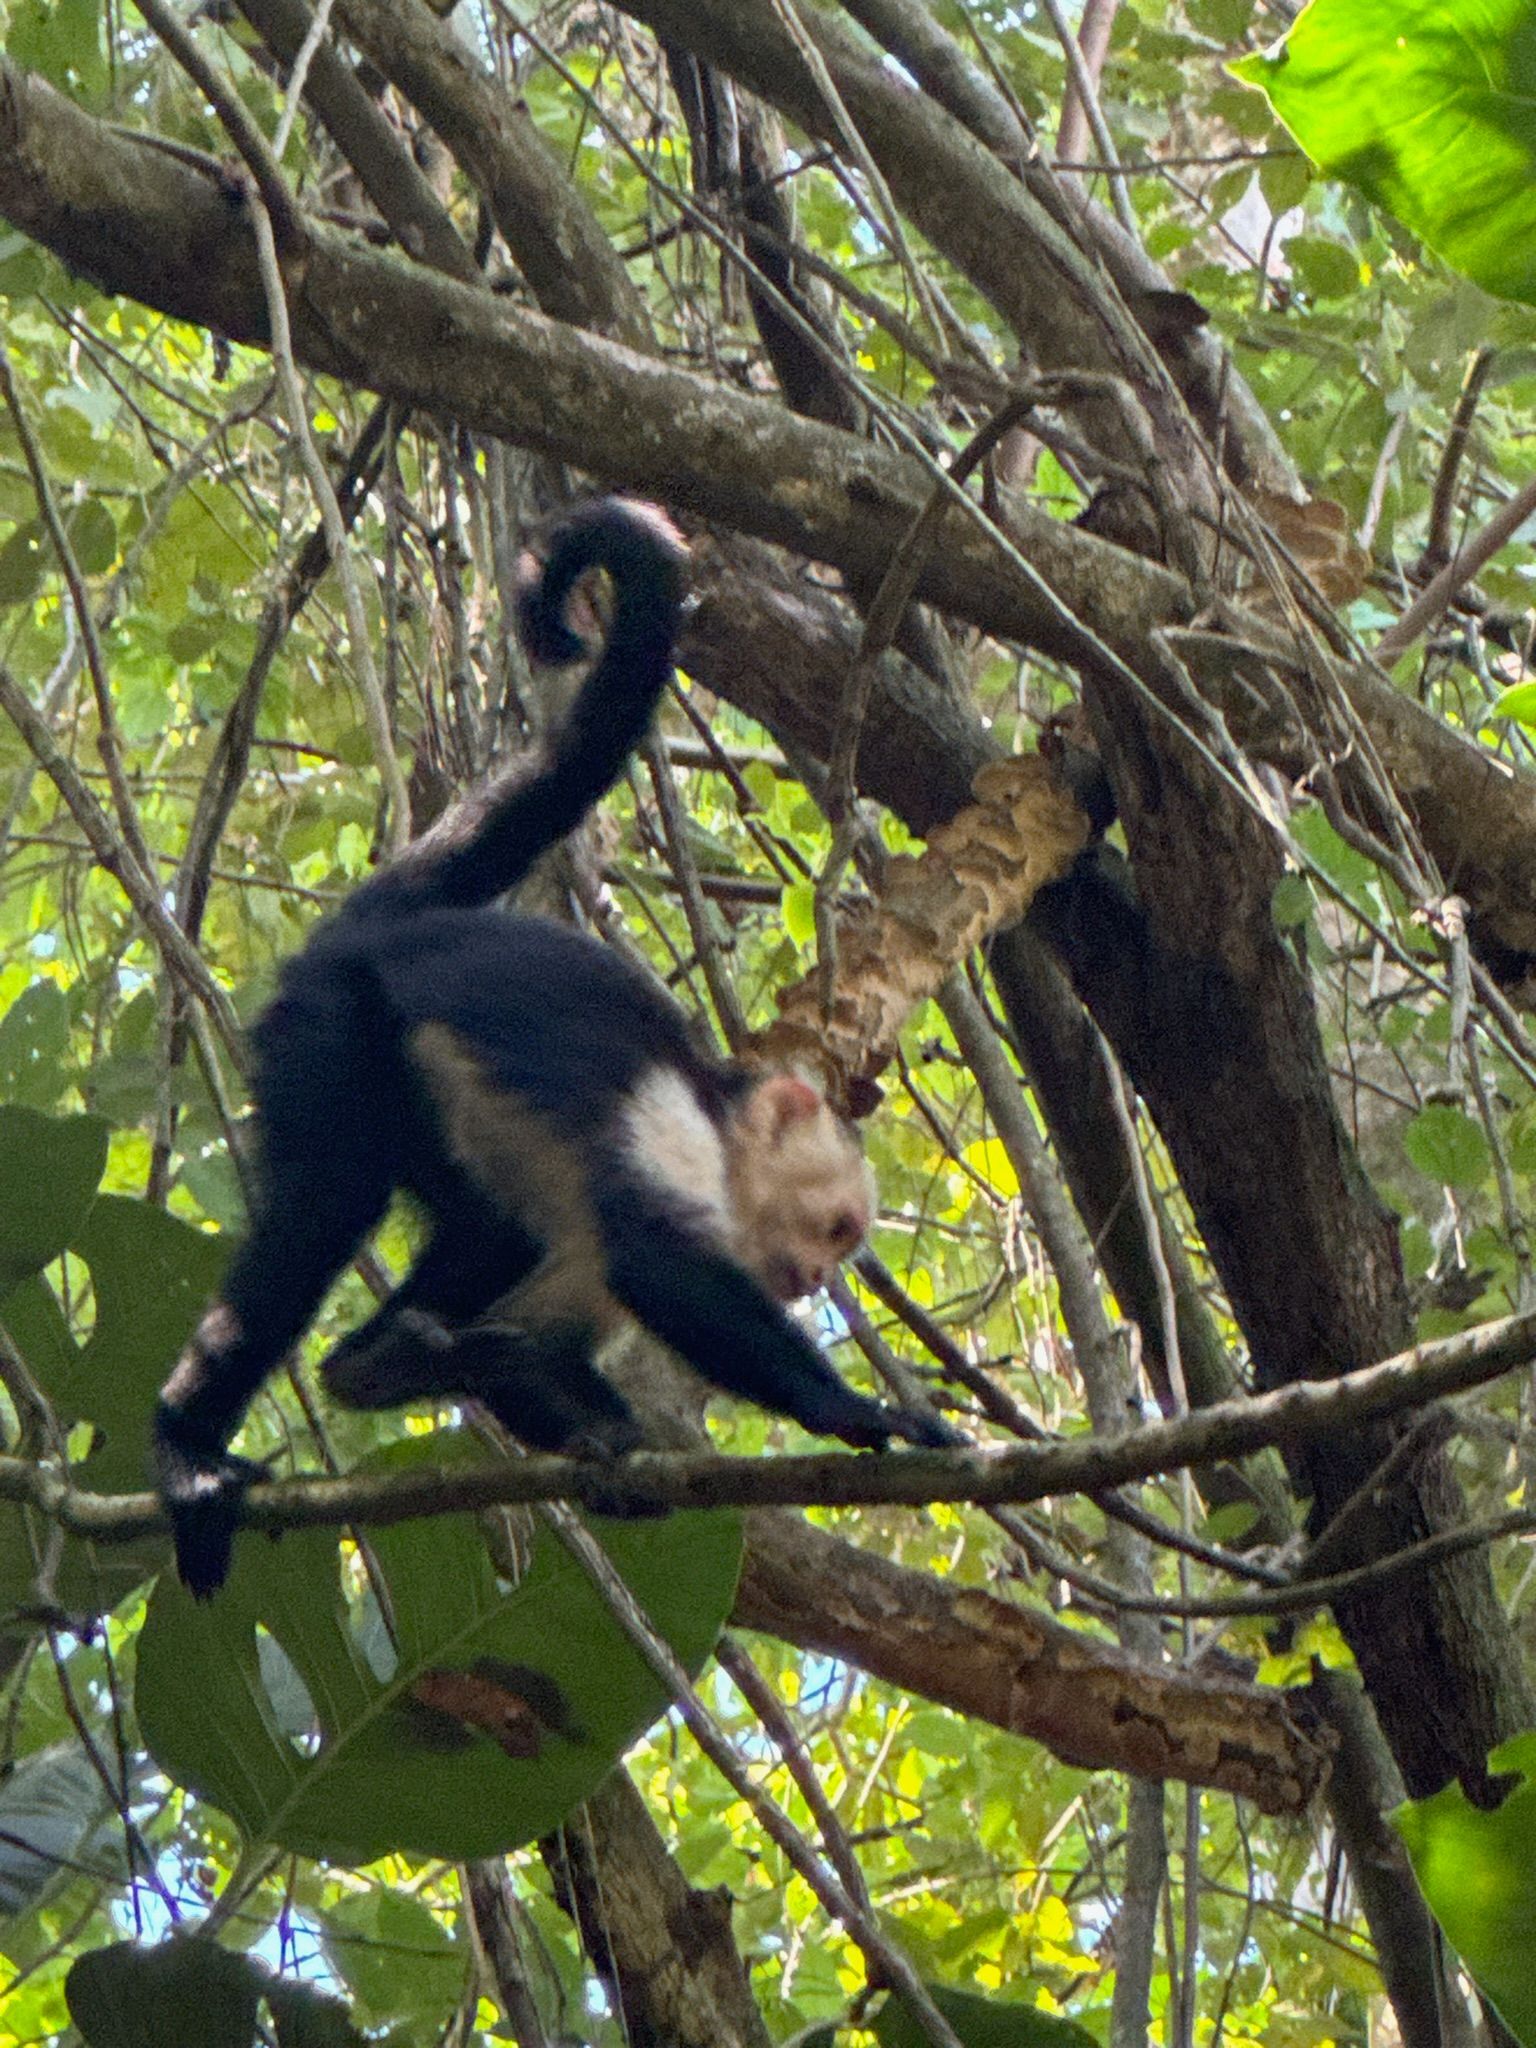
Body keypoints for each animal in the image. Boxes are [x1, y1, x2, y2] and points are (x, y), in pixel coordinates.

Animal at [154, 498, 948, 1598]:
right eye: (836, 1229)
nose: (812, 1280)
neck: (721, 1124)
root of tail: (383, 929)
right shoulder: (670, 1128)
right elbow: (659, 1261)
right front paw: (856, 1410)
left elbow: (556, 1332)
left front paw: (589, 1435)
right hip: (330, 1029)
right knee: (321, 1211)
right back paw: (190, 1442)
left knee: (484, 1232)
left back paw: (383, 1359)